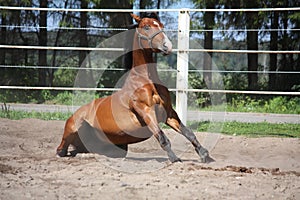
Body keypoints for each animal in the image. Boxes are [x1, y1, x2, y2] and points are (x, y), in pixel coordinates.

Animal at [57, 13, 210, 162]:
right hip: (73, 128)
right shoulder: (146, 111)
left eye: (161, 25)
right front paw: (174, 159)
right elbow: (162, 137)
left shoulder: (168, 112)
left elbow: (188, 133)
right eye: (147, 27)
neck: (146, 82)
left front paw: (204, 154)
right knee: (62, 151)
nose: (167, 46)